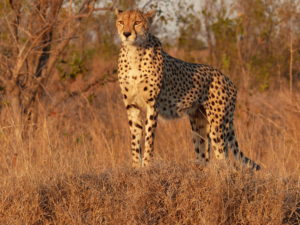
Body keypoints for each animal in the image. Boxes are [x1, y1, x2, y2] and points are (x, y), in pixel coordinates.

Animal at [115, 9, 260, 171]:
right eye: (121, 22)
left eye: (137, 22)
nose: (126, 33)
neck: (134, 52)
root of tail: (227, 79)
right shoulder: (132, 105)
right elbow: (135, 138)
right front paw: (135, 166)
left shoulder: (152, 105)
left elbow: (149, 137)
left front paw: (146, 165)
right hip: (199, 123)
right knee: (203, 153)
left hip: (218, 125)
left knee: (223, 157)